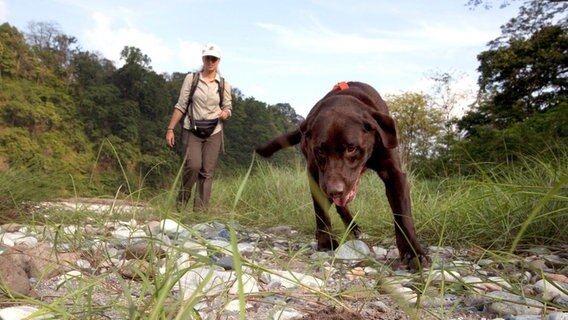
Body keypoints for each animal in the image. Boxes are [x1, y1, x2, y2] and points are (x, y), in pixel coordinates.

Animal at [256, 81, 426, 268]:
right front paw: (325, 242)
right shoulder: (316, 177)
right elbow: (321, 211)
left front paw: (413, 252)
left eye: (351, 148)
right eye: (320, 150)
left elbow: (403, 215)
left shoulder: (394, 174)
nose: (334, 191)